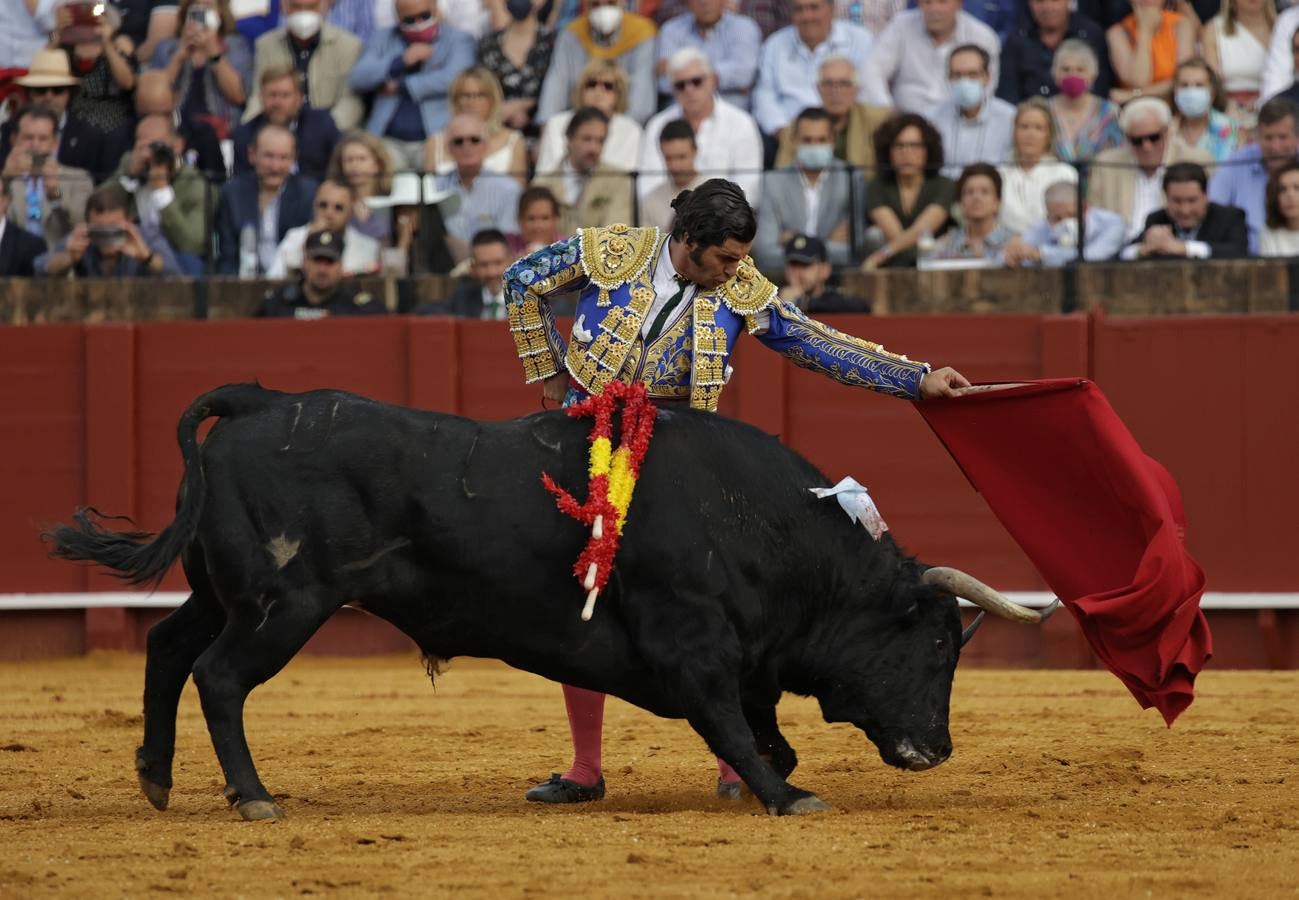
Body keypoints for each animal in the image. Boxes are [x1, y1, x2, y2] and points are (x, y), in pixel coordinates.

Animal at [48, 381, 1054, 815]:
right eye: (937, 646)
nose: (937, 748)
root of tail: (259, 403)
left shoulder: (744, 656)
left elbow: (760, 722)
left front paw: (771, 779)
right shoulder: (692, 644)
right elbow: (735, 725)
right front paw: (783, 797)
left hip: (226, 594)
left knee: (167, 649)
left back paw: (156, 777)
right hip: (281, 604)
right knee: (219, 679)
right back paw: (252, 797)